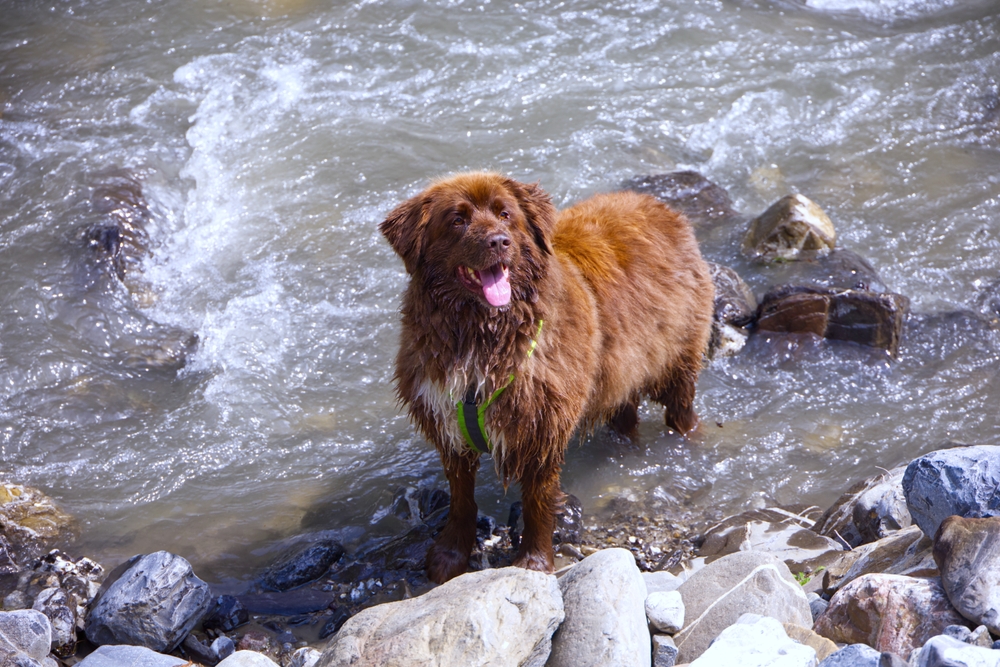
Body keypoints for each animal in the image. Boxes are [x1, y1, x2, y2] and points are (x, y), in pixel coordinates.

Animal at [378, 172, 716, 584]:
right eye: (457, 220)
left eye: (505, 214)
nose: (498, 241)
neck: (483, 336)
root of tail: (660, 206)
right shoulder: (448, 422)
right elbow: (461, 498)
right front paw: (450, 553)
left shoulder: (542, 424)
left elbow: (536, 502)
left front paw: (534, 562)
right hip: (620, 373)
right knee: (625, 416)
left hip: (680, 357)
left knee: (681, 410)